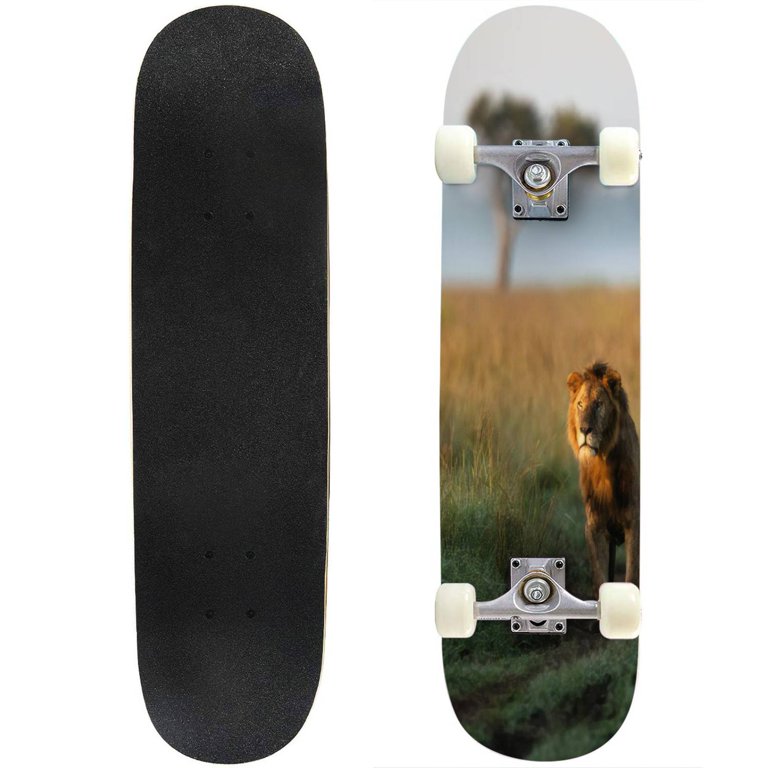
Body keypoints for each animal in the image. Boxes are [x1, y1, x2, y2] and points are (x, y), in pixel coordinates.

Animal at [566, 362, 639, 597]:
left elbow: (632, 576)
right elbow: (599, 578)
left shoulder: (634, 523)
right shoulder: (594, 525)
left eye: (599, 404)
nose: (584, 430)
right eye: (580, 404)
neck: (603, 463)